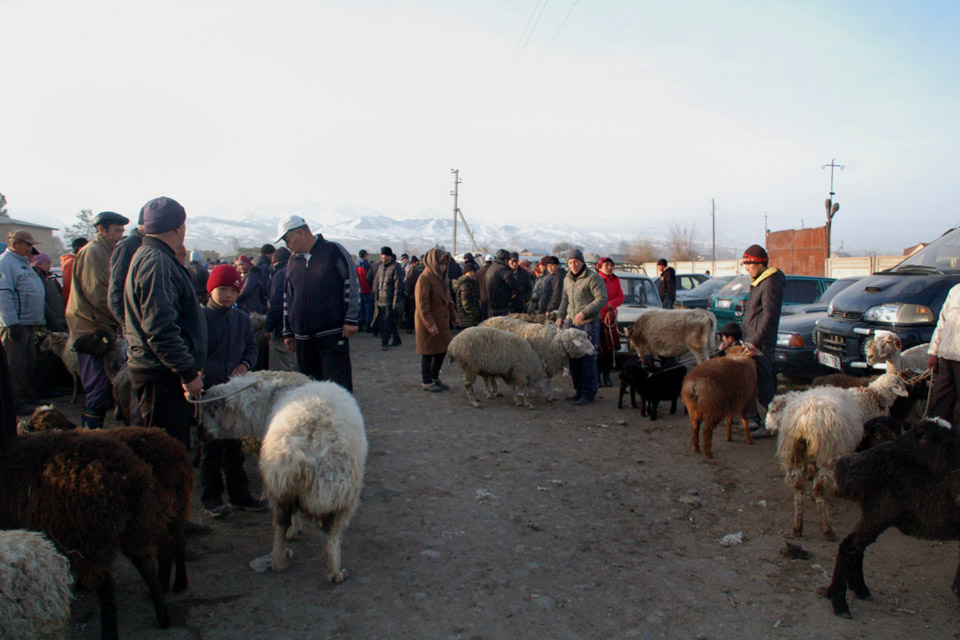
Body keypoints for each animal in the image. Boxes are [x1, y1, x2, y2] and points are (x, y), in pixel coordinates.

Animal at [0, 424, 169, 640]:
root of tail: (125, 475)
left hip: (89, 536)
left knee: (106, 587)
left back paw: (109, 632)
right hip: (137, 526)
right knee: (147, 567)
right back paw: (163, 616)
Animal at [195, 370, 364, 584]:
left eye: (214, 409)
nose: (200, 434)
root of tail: (307, 451)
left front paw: (295, 529)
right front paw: (297, 530)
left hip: (311, 491)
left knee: (303, 528)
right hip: (314, 490)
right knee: (305, 528)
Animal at [820, 418, 960, 616]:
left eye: (924, 439)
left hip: (875, 511)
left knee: (858, 548)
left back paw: (858, 590)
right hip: (881, 510)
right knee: (850, 546)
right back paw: (840, 603)